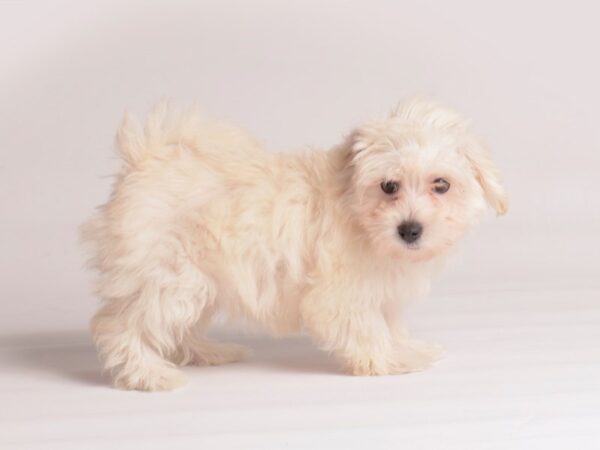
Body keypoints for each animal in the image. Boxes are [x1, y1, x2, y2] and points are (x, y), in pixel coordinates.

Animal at [81, 98, 506, 390]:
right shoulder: (340, 293)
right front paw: (391, 360)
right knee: (121, 325)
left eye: (441, 185)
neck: (356, 208)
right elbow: (367, 329)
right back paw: (149, 374)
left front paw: (407, 347)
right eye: (389, 186)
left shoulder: (379, 287)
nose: (410, 229)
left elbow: (389, 323)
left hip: (198, 278)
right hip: (169, 274)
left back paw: (209, 352)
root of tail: (144, 158)